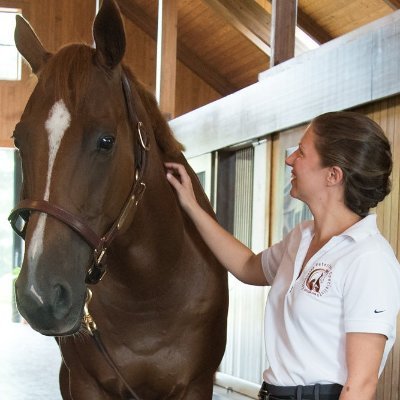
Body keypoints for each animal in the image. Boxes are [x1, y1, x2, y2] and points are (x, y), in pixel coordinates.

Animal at [7, 1, 228, 398]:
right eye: (19, 140)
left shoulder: (196, 385)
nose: (39, 297)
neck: (150, 291)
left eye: (106, 141)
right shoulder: (86, 384)